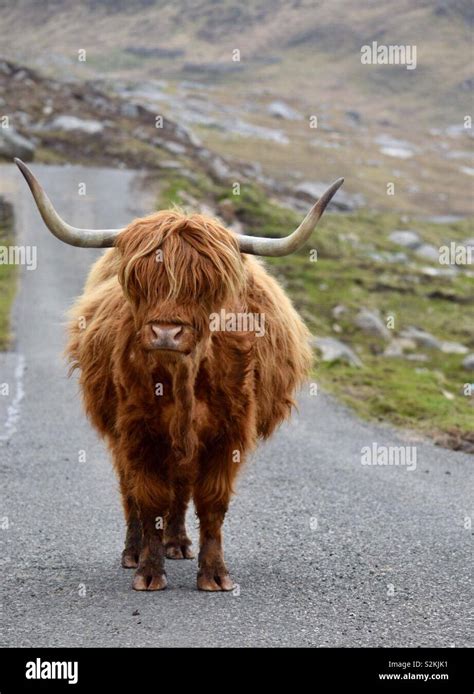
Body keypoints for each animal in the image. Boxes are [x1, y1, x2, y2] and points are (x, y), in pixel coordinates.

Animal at [13, 160, 340, 596]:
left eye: (205, 285)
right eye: (139, 282)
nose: (166, 333)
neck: (184, 380)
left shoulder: (229, 434)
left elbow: (212, 503)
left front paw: (214, 575)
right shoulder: (137, 431)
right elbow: (148, 497)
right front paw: (149, 572)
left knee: (182, 489)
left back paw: (180, 543)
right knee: (130, 491)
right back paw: (133, 551)